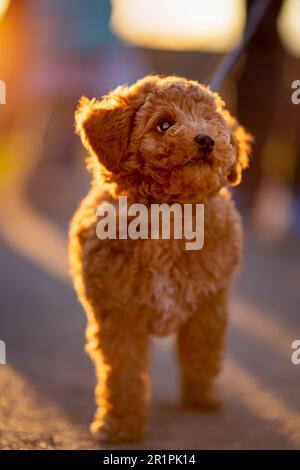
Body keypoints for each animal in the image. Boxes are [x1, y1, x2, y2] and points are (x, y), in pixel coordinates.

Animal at [69, 75, 252, 442]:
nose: (207, 139)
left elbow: (205, 338)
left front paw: (202, 377)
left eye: (211, 121)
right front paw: (121, 425)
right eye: (164, 124)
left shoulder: (214, 293)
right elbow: (123, 373)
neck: (168, 213)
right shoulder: (117, 313)